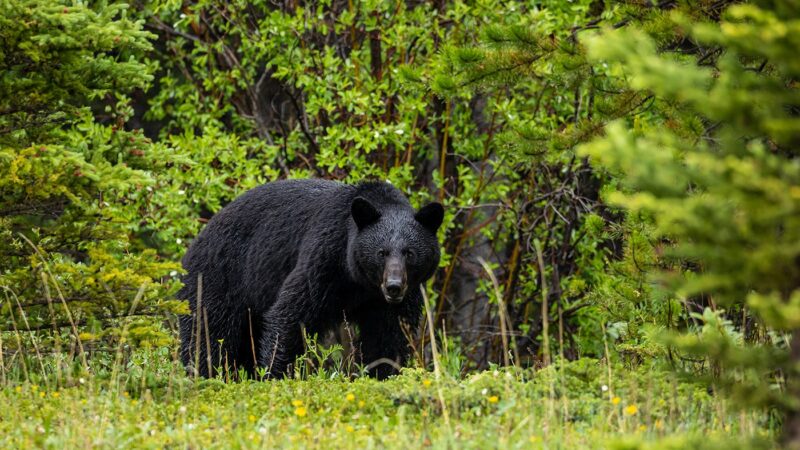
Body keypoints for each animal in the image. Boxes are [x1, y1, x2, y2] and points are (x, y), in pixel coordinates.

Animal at [177, 179, 444, 380]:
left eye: (409, 253)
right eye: (382, 252)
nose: (394, 287)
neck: (360, 282)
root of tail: (193, 246)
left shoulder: (393, 299)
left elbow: (389, 335)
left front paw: (383, 373)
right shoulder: (325, 258)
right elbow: (291, 314)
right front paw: (276, 373)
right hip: (219, 280)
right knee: (209, 333)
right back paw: (202, 374)